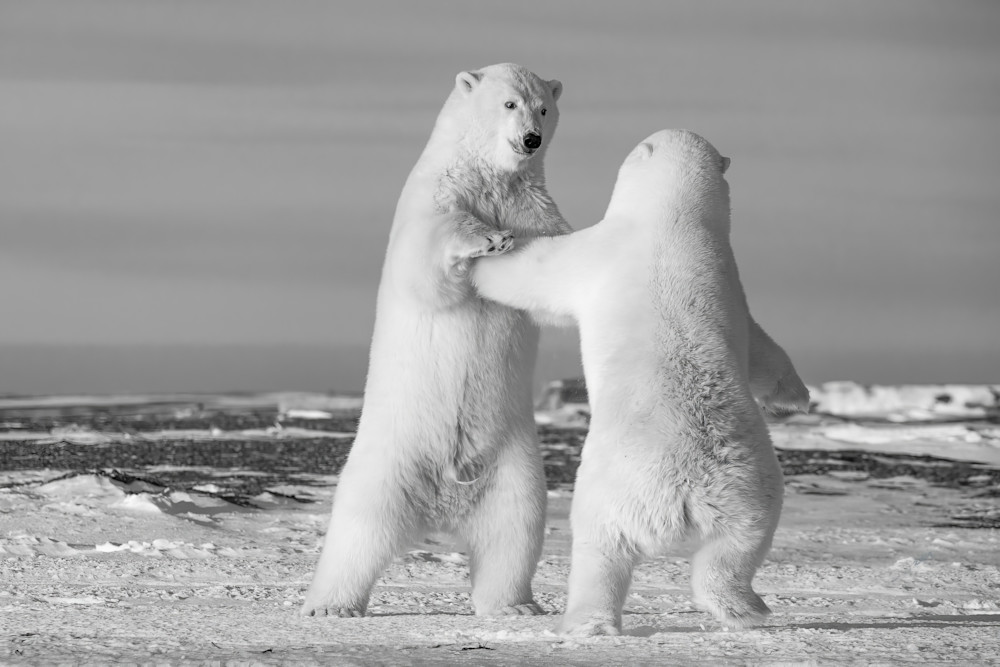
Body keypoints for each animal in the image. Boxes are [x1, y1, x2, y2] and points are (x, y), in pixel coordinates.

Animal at [300, 63, 570, 618]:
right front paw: (488, 238)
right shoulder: (434, 195)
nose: (531, 140)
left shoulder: (535, 207)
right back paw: (329, 605)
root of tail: (445, 505)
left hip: (514, 466)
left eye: (544, 107)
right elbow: (426, 262)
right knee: (358, 530)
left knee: (515, 530)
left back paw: (512, 606)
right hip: (388, 458)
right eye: (510, 103)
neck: (494, 178)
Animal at [472, 129, 805, 634]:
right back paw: (745, 609)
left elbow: (537, 274)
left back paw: (588, 622)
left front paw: (483, 260)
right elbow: (763, 349)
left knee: (602, 548)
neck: (671, 219)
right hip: (751, 490)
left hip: (615, 490)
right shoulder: (733, 282)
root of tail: (689, 490)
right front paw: (796, 397)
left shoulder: (598, 250)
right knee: (739, 545)